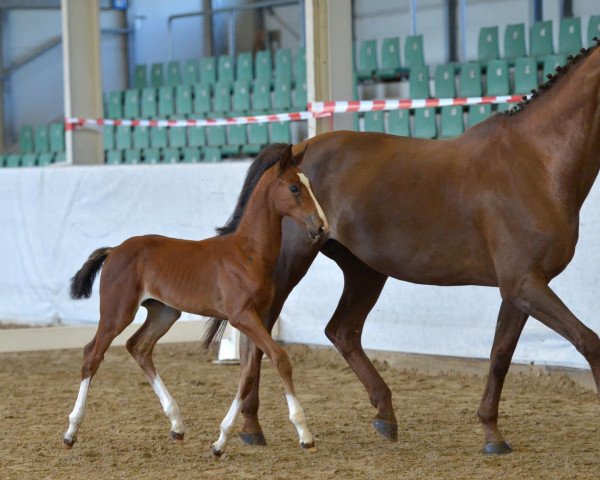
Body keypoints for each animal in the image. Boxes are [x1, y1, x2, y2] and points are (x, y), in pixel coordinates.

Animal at [61, 147, 328, 458]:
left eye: (310, 185)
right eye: (294, 188)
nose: (321, 227)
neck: (248, 253)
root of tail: (114, 250)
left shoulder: (258, 317)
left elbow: (248, 375)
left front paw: (220, 442)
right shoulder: (241, 316)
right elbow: (280, 359)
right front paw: (305, 434)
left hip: (164, 313)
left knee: (139, 347)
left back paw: (177, 426)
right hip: (117, 313)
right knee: (92, 354)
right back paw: (70, 432)